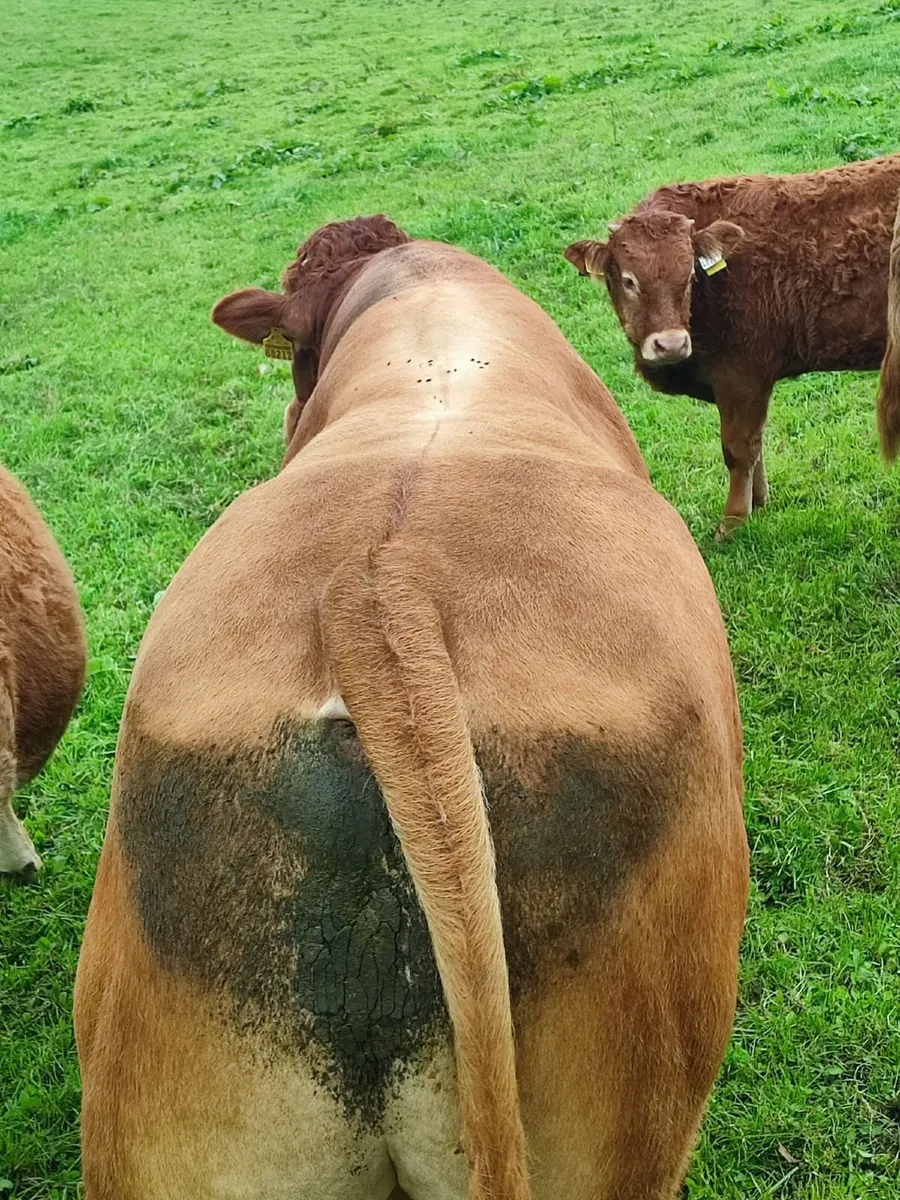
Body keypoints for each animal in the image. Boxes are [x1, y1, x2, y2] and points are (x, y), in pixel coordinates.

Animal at [564, 154, 900, 538]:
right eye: (628, 280)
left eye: (689, 275)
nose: (670, 344)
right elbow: (756, 444)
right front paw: (759, 500)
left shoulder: (742, 378)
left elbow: (739, 449)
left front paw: (734, 520)